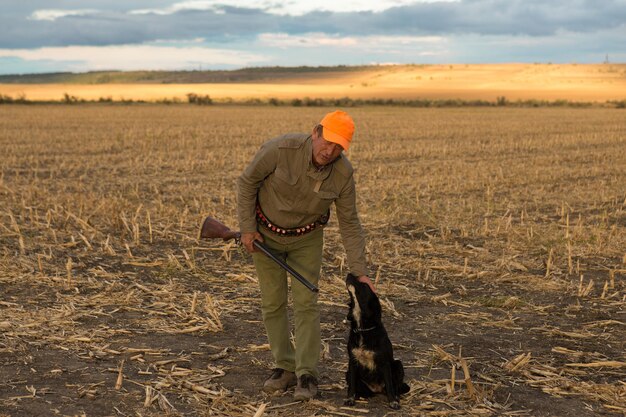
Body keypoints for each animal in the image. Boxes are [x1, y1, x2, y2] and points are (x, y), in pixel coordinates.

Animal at [344, 272, 408, 408]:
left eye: (364, 285)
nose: (350, 273)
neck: (363, 329)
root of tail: (376, 388)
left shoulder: (384, 363)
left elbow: (389, 385)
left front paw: (393, 401)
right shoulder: (352, 361)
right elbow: (352, 384)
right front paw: (350, 398)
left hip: (398, 365)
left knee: (396, 387)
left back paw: (396, 397)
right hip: (347, 372)